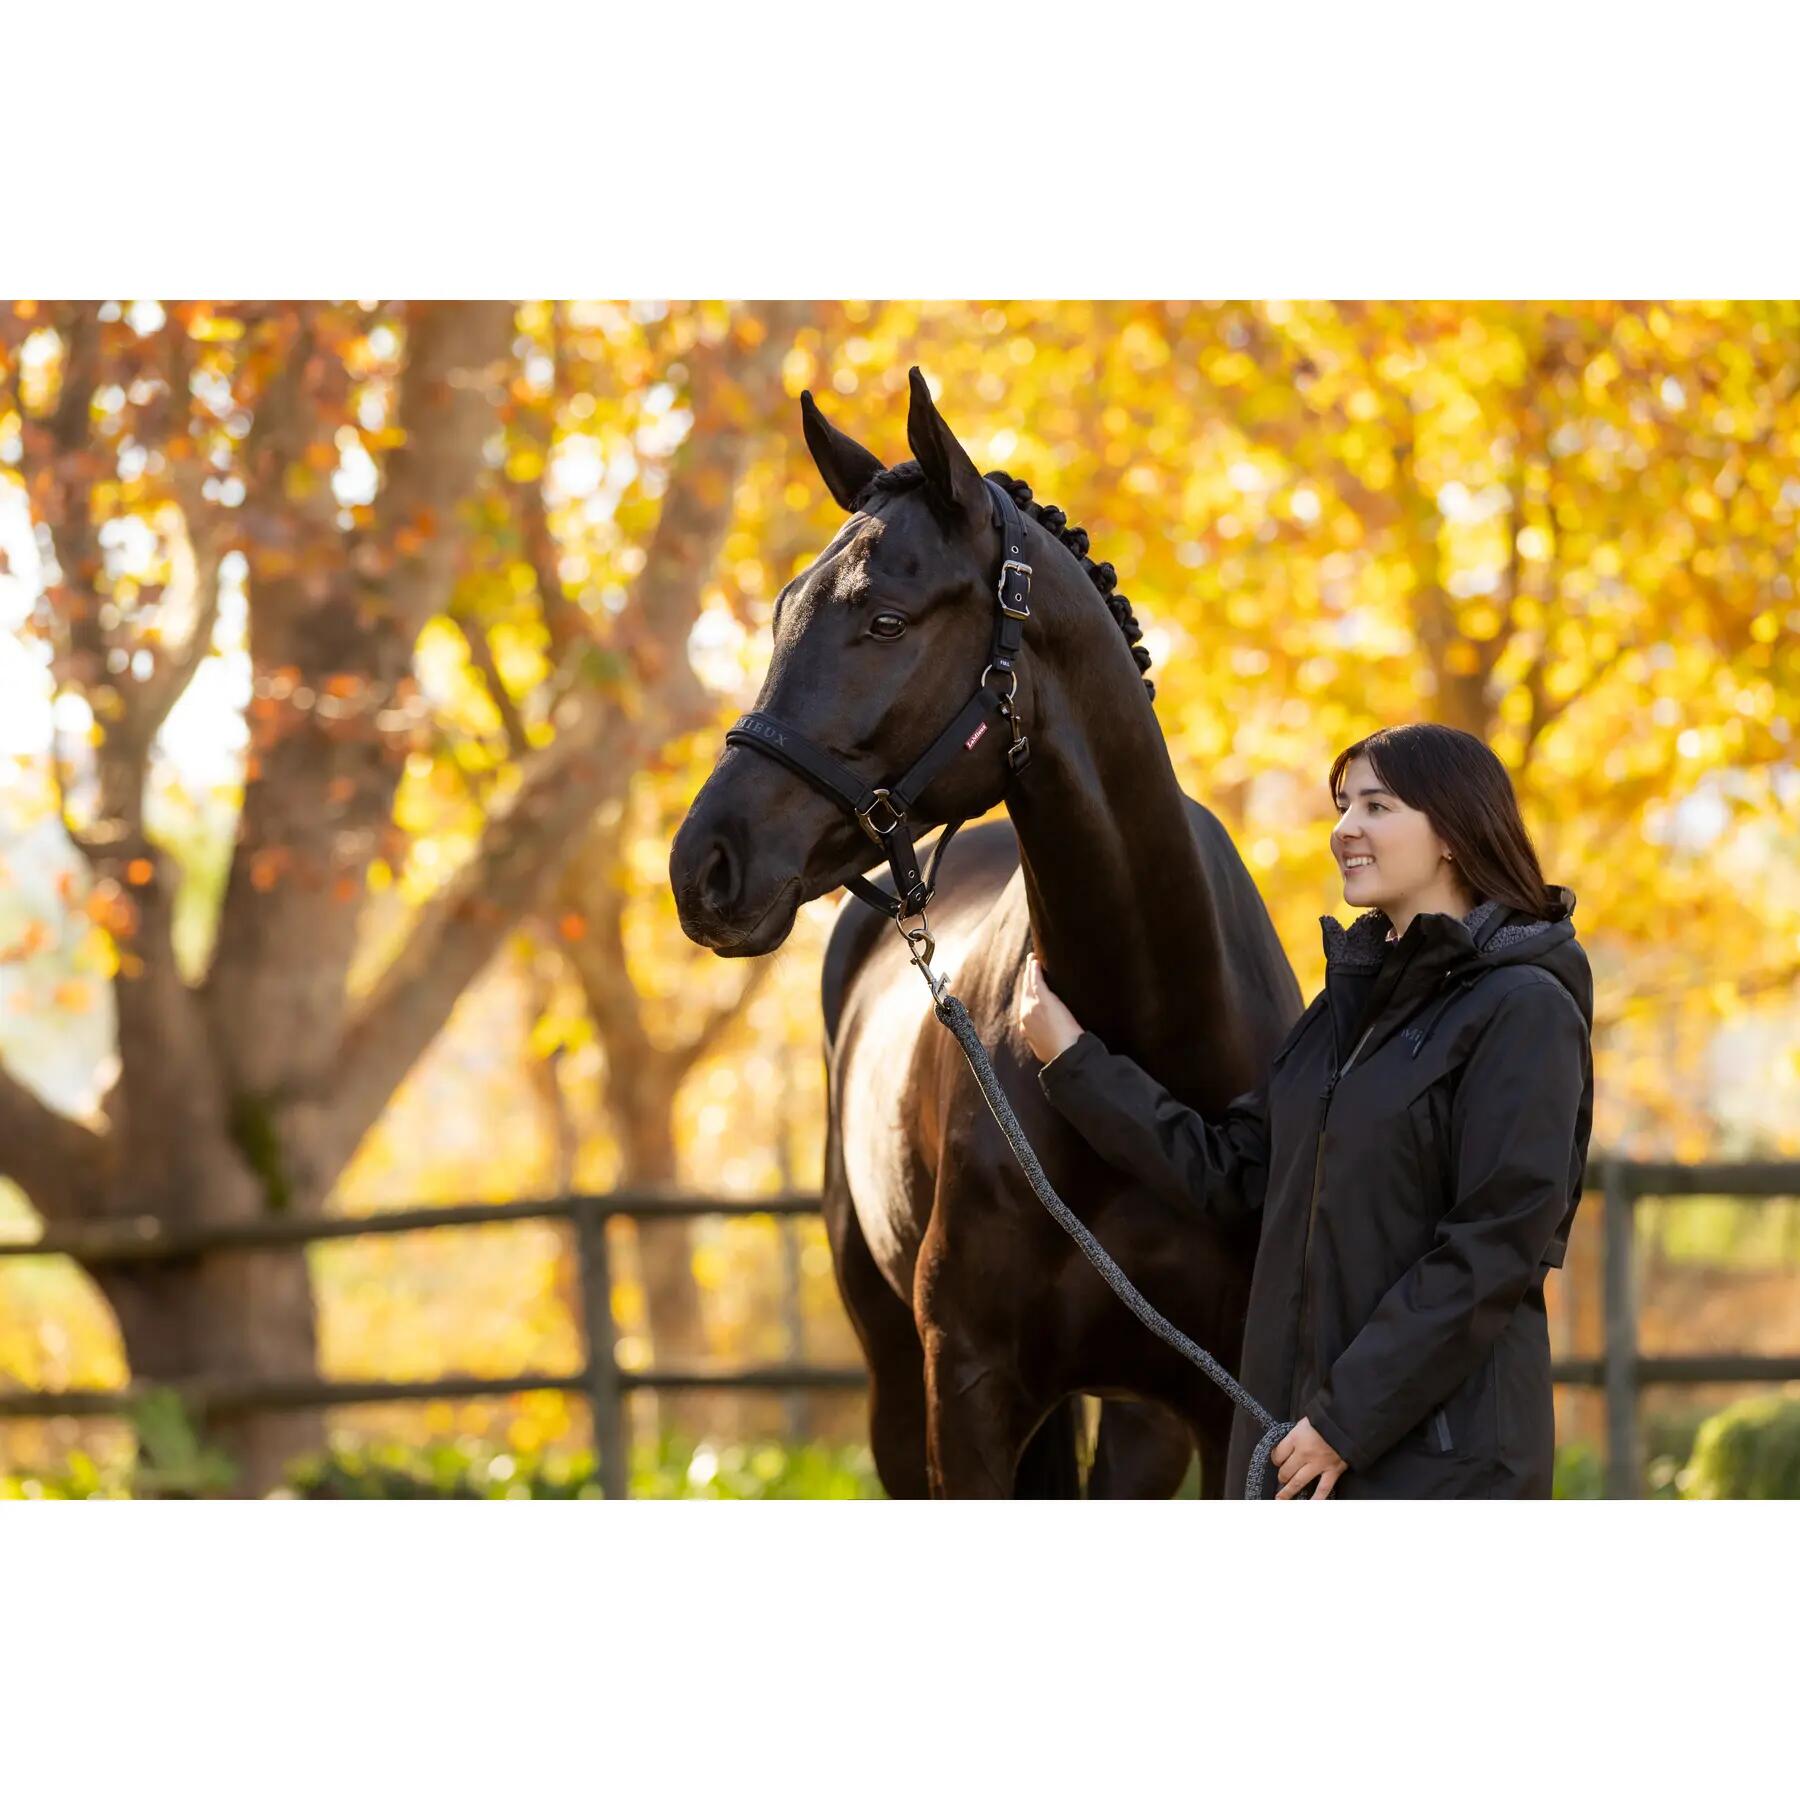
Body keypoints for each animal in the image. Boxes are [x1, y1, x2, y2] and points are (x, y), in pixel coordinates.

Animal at [670, 367, 1302, 1496]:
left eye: (884, 620)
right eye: (784, 610)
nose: (705, 867)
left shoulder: (1229, 1407)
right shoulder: (965, 1391)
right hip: (892, 1378)